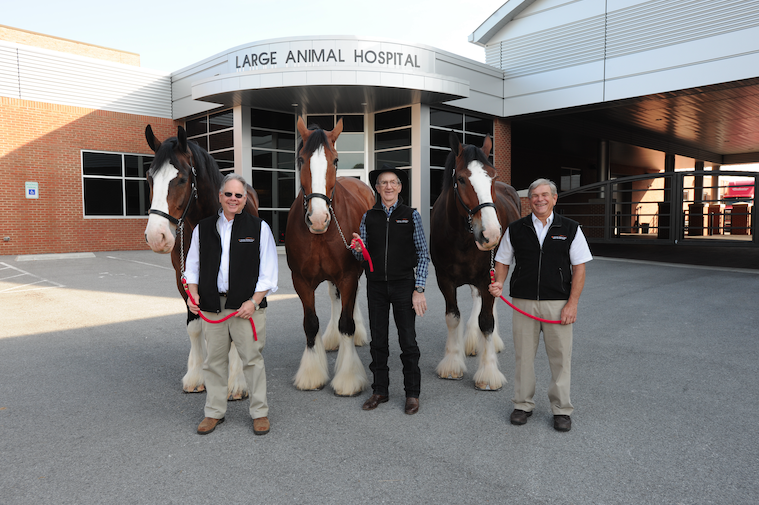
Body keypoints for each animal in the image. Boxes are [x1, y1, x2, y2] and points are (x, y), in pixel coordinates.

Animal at [144, 125, 260, 398]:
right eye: (149, 177)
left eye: (182, 178)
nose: (156, 236)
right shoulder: (184, 280)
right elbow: (195, 326)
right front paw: (196, 376)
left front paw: (237, 382)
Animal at [286, 116, 376, 396]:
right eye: (301, 159)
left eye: (335, 160)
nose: (318, 219)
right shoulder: (301, 281)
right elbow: (310, 323)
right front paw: (311, 374)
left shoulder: (348, 275)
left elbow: (346, 323)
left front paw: (348, 378)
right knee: (335, 299)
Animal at [434, 131, 524, 390]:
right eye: (462, 179)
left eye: (493, 177)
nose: (491, 234)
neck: (461, 238)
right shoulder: (444, 279)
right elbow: (453, 317)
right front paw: (452, 363)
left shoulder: (487, 277)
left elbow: (487, 321)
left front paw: (488, 373)